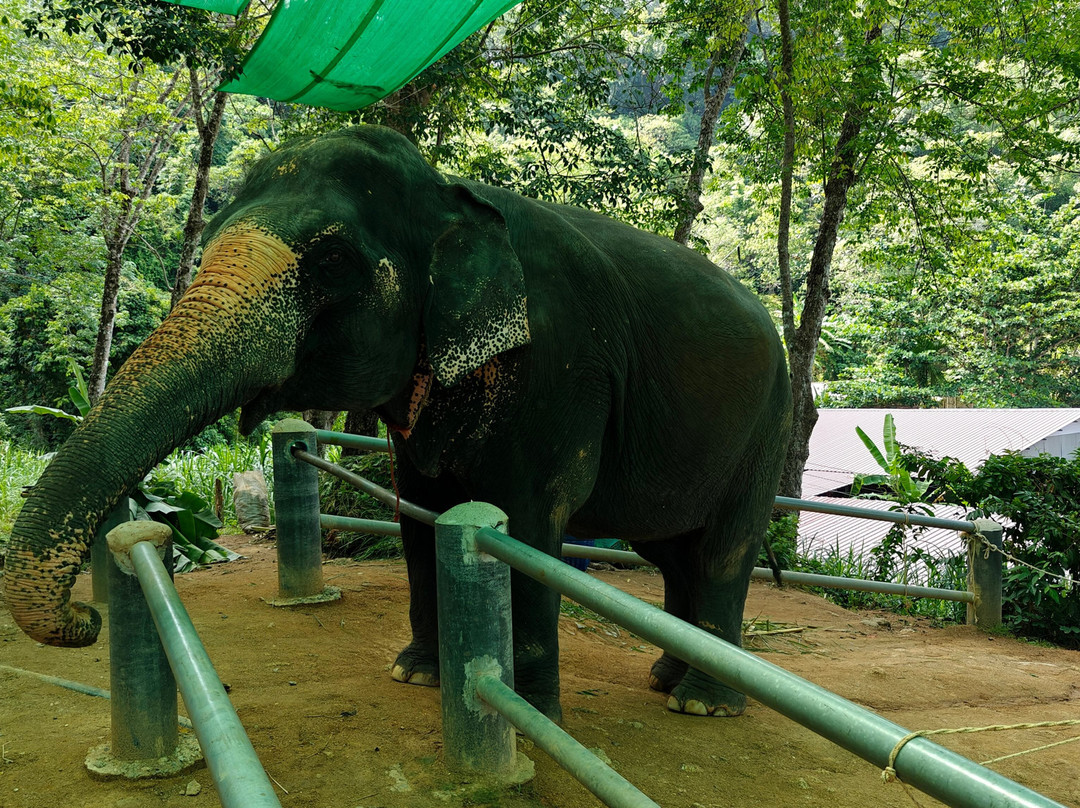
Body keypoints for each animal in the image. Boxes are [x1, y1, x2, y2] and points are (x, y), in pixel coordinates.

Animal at [4, 125, 791, 721]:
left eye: (330, 259)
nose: (86, 619)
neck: (451, 194)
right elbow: (418, 515)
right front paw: (415, 674)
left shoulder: (561, 366)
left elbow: (531, 524)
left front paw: (533, 716)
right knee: (673, 550)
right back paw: (668, 680)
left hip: (770, 422)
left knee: (722, 549)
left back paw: (704, 704)